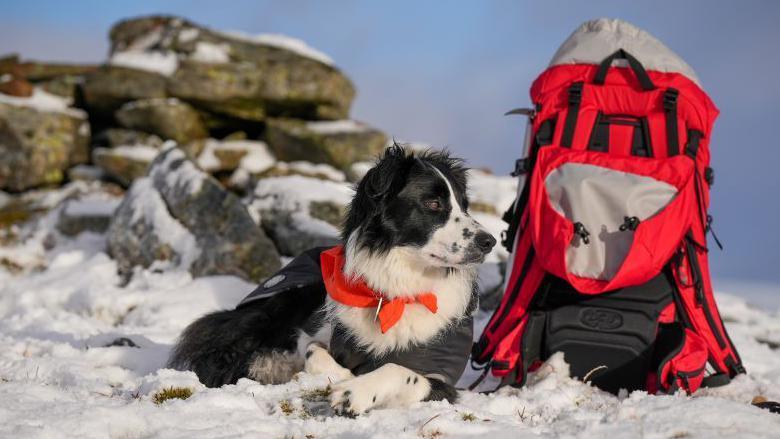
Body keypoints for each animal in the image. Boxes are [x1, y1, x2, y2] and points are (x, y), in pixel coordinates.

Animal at [170, 145, 496, 416]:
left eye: (464, 206)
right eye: (433, 204)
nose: (489, 242)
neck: (397, 292)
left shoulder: (441, 378)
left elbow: (398, 369)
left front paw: (355, 392)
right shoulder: (318, 333)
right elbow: (314, 351)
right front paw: (343, 379)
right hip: (283, 302)